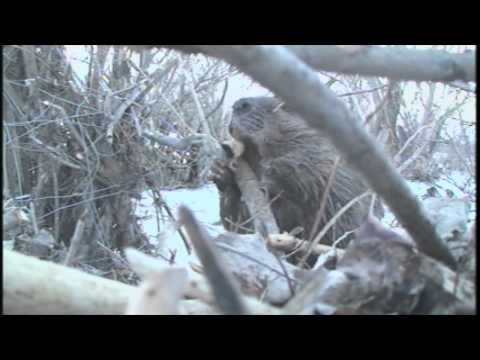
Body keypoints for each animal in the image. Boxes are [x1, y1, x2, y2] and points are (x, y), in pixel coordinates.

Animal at [210, 96, 382, 250]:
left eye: (285, 107)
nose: (239, 104)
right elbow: (245, 227)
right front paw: (220, 170)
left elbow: (312, 164)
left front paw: (268, 175)